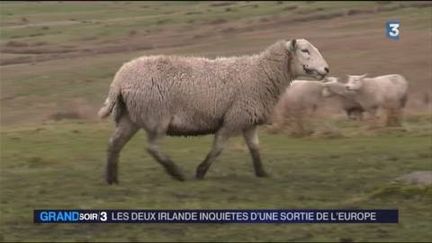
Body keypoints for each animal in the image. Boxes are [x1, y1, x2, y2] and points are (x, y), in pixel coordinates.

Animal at [98, 39, 330, 183]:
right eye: (305, 50)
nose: (327, 70)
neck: (262, 73)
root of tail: (119, 79)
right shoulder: (233, 118)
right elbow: (218, 148)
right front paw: (200, 171)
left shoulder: (248, 120)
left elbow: (255, 148)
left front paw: (262, 173)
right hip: (156, 116)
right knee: (152, 147)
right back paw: (176, 173)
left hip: (131, 117)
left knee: (114, 143)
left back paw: (112, 179)